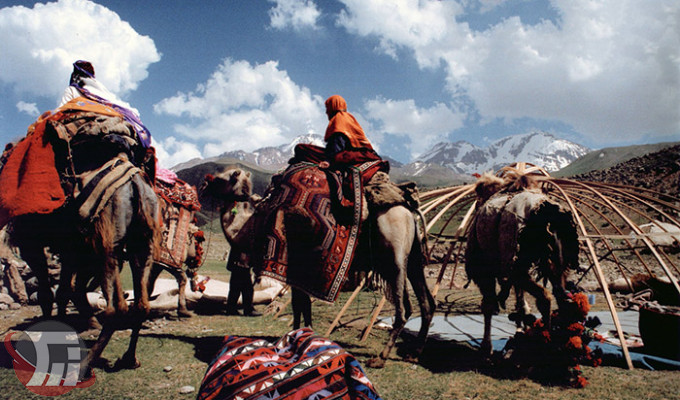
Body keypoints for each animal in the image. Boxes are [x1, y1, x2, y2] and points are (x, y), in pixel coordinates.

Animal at [202, 166, 436, 368]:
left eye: (222, 178)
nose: (204, 184)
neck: (250, 228)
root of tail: (409, 210)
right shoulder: (300, 275)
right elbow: (302, 306)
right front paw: (303, 336)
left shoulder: (295, 270)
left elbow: (299, 305)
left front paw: (298, 340)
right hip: (414, 259)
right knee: (427, 303)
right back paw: (414, 354)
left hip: (394, 257)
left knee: (404, 309)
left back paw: (380, 358)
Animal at [468, 173, 580, 354]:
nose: (476, 206)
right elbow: (519, 300)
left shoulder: (485, 267)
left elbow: (489, 305)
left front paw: (486, 347)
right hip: (556, 263)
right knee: (561, 297)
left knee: (545, 296)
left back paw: (546, 341)